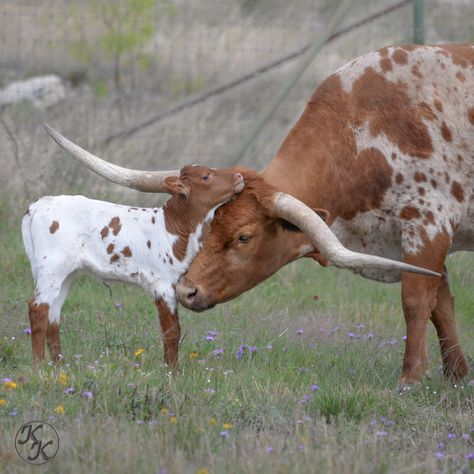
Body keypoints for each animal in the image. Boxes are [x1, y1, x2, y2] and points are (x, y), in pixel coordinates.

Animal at [21, 165, 244, 368]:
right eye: (206, 176)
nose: (239, 176)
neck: (174, 227)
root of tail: (39, 204)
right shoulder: (163, 285)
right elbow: (172, 331)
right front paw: (173, 373)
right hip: (52, 266)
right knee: (38, 308)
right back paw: (39, 368)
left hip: (65, 272)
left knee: (53, 313)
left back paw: (59, 367)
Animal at [175, 43, 474, 386]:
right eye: (210, 226)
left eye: (244, 237)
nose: (186, 290)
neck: (361, 134)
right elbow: (442, 306)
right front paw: (457, 375)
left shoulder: (428, 225)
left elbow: (416, 301)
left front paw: (410, 379)